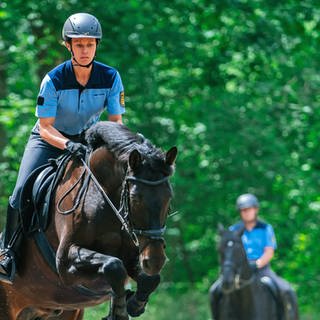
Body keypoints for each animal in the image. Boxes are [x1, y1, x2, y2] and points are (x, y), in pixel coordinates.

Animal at [0, 121, 178, 318]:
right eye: (135, 197)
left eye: (169, 197)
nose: (155, 261)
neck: (102, 195)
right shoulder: (66, 262)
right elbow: (114, 267)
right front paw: (120, 309)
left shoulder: (133, 255)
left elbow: (150, 279)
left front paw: (134, 304)